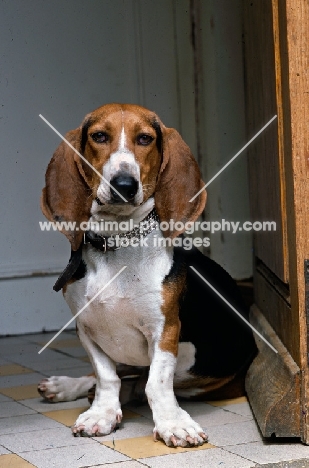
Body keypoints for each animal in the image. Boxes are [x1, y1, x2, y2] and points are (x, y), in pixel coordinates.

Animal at [38, 104, 255, 448]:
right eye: (99, 136)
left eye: (145, 138)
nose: (124, 184)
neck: (117, 242)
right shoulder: (86, 329)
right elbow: (106, 376)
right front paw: (101, 413)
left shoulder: (164, 330)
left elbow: (156, 382)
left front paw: (173, 424)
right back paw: (66, 386)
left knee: (142, 383)